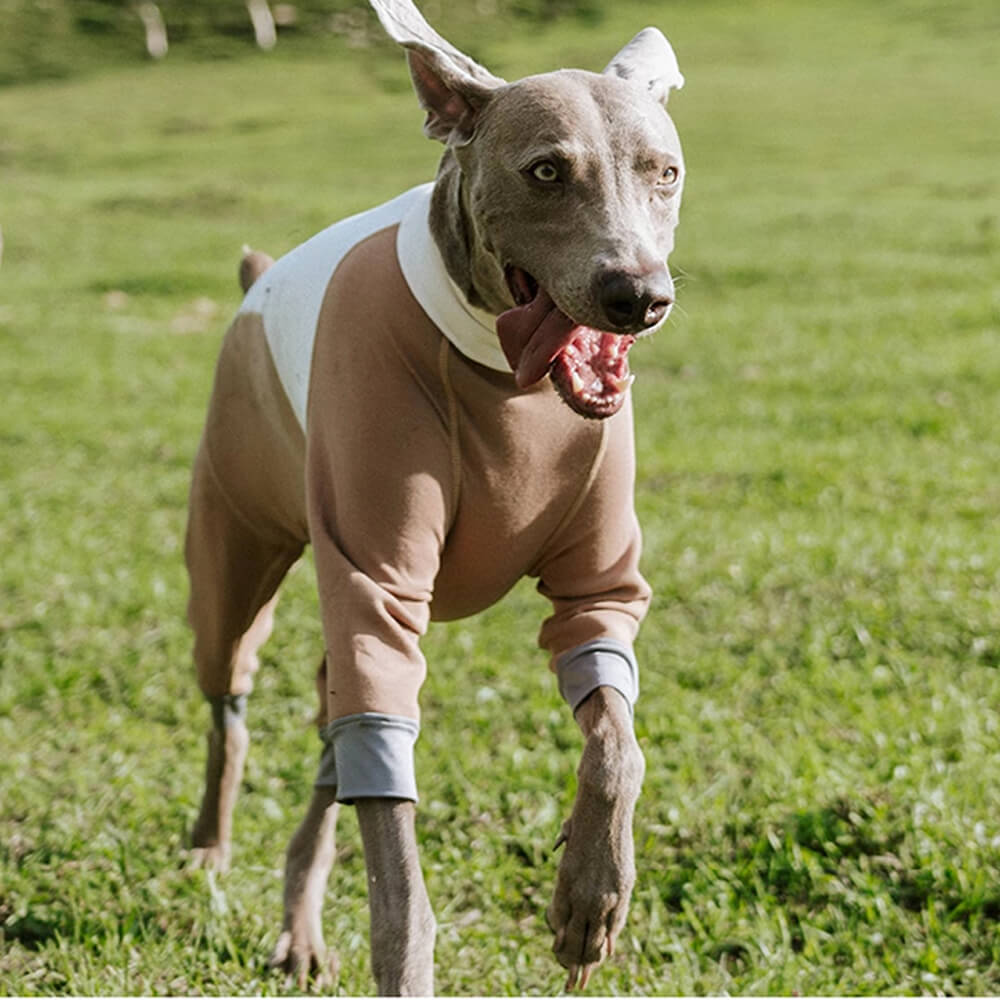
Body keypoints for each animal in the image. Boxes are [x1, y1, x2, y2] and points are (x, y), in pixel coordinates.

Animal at [186, 3, 688, 992]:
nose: (639, 295)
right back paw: (212, 847)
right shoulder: (374, 579)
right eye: (546, 171)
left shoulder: (601, 588)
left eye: (666, 173)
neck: (496, 367)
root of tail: (258, 281)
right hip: (233, 540)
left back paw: (299, 921)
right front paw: (408, 960)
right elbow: (398, 871)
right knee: (235, 700)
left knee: (330, 742)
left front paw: (590, 897)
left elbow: (616, 742)